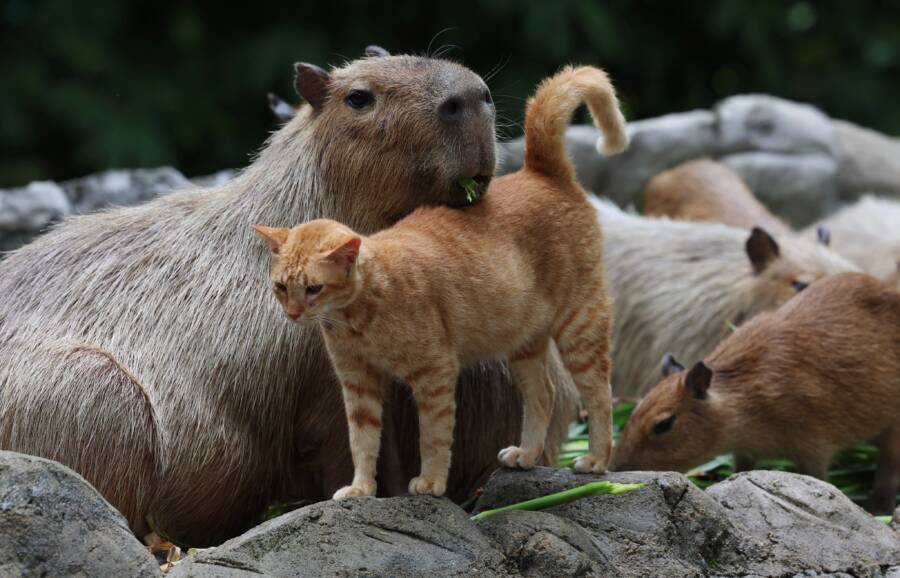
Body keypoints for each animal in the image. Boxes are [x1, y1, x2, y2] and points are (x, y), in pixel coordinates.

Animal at [256, 64, 628, 496]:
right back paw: (526, 455)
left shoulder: (434, 375)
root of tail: (542, 172)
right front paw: (361, 489)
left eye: (313, 288)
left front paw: (431, 481)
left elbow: (432, 436)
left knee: (599, 392)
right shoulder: (358, 385)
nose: (293, 314)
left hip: (579, 325)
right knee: (543, 395)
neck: (357, 318)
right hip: (525, 342)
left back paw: (597, 459)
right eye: (281, 287)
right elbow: (361, 443)